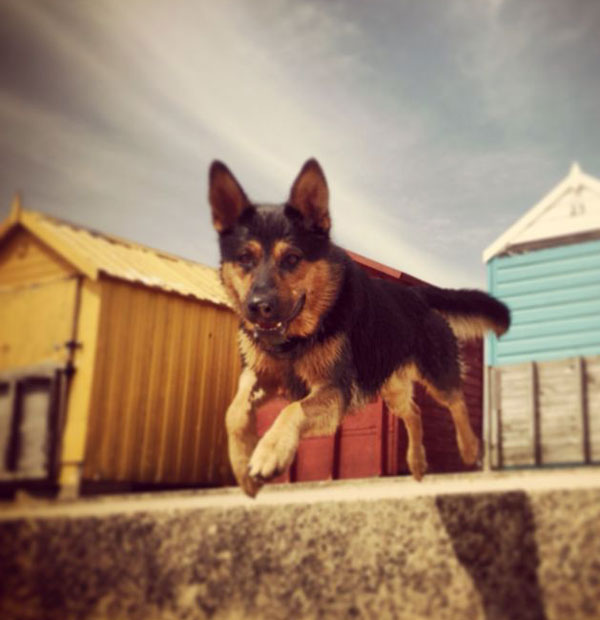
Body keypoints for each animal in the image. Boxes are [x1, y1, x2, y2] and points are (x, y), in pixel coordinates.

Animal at [209, 157, 508, 496]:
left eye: (292, 258)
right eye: (244, 258)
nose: (259, 307)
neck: (295, 340)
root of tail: (416, 293)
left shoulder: (334, 391)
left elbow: (292, 409)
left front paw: (269, 452)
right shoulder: (260, 376)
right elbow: (233, 411)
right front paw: (242, 464)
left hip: (436, 374)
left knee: (457, 401)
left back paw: (469, 449)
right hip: (390, 388)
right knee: (415, 413)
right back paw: (417, 463)